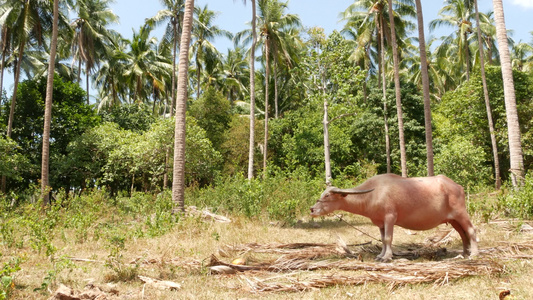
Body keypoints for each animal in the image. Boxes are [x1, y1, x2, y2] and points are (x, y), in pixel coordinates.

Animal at [308, 173, 478, 262]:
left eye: (327, 195)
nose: (312, 209)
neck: (373, 194)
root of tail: (457, 186)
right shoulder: (380, 223)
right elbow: (383, 239)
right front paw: (380, 255)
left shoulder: (390, 218)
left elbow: (389, 238)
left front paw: (387, 257)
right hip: (453, 220)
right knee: (462, 234)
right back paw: (464, 253)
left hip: (461, 213)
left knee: (471, 230)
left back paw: (474, 253)